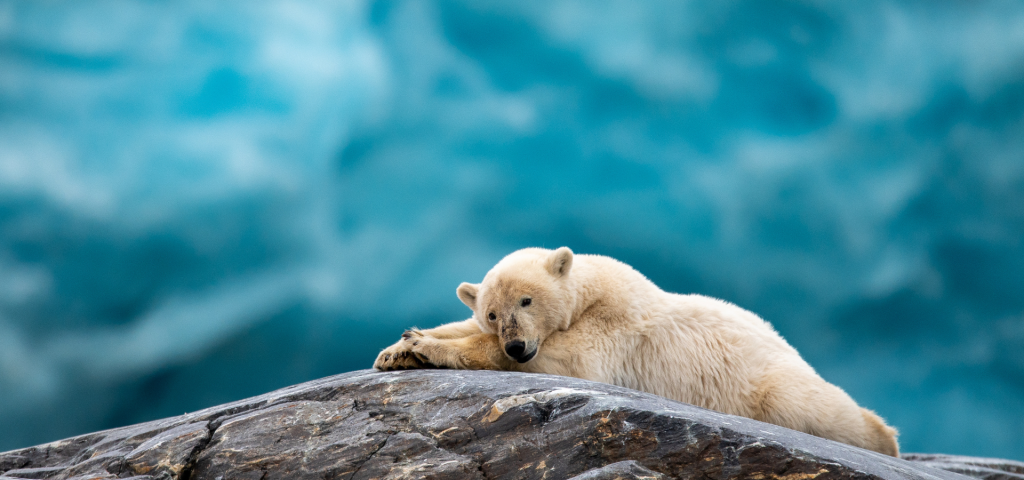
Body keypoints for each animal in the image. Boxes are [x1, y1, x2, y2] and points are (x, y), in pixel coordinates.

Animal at [374, 247, 899, 456]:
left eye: (526, 301)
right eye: (491, 312)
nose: (518, 345)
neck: (592, 289)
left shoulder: (617, 328)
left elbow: (571, 358)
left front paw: (421, 345)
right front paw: (398, 349)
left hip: (767, 381)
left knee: (812, 403)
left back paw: (883, 437)